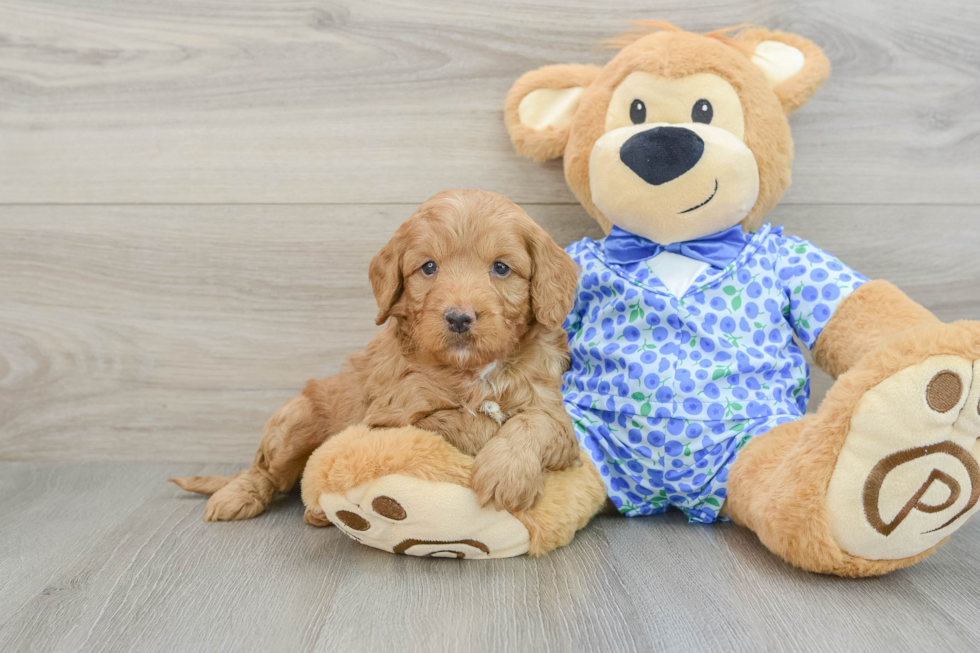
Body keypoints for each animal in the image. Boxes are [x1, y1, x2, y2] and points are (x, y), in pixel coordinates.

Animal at [171, 187, 580, 520]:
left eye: (501, 267)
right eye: (428, 267)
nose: (459, 318)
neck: (473, 370)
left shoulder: (551, 406)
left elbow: (536, 422)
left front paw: (506, 472)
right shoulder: (388, 420)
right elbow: (460, 421)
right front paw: (489, 433)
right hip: (292, 422)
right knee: (265, 471)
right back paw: (238, 496)